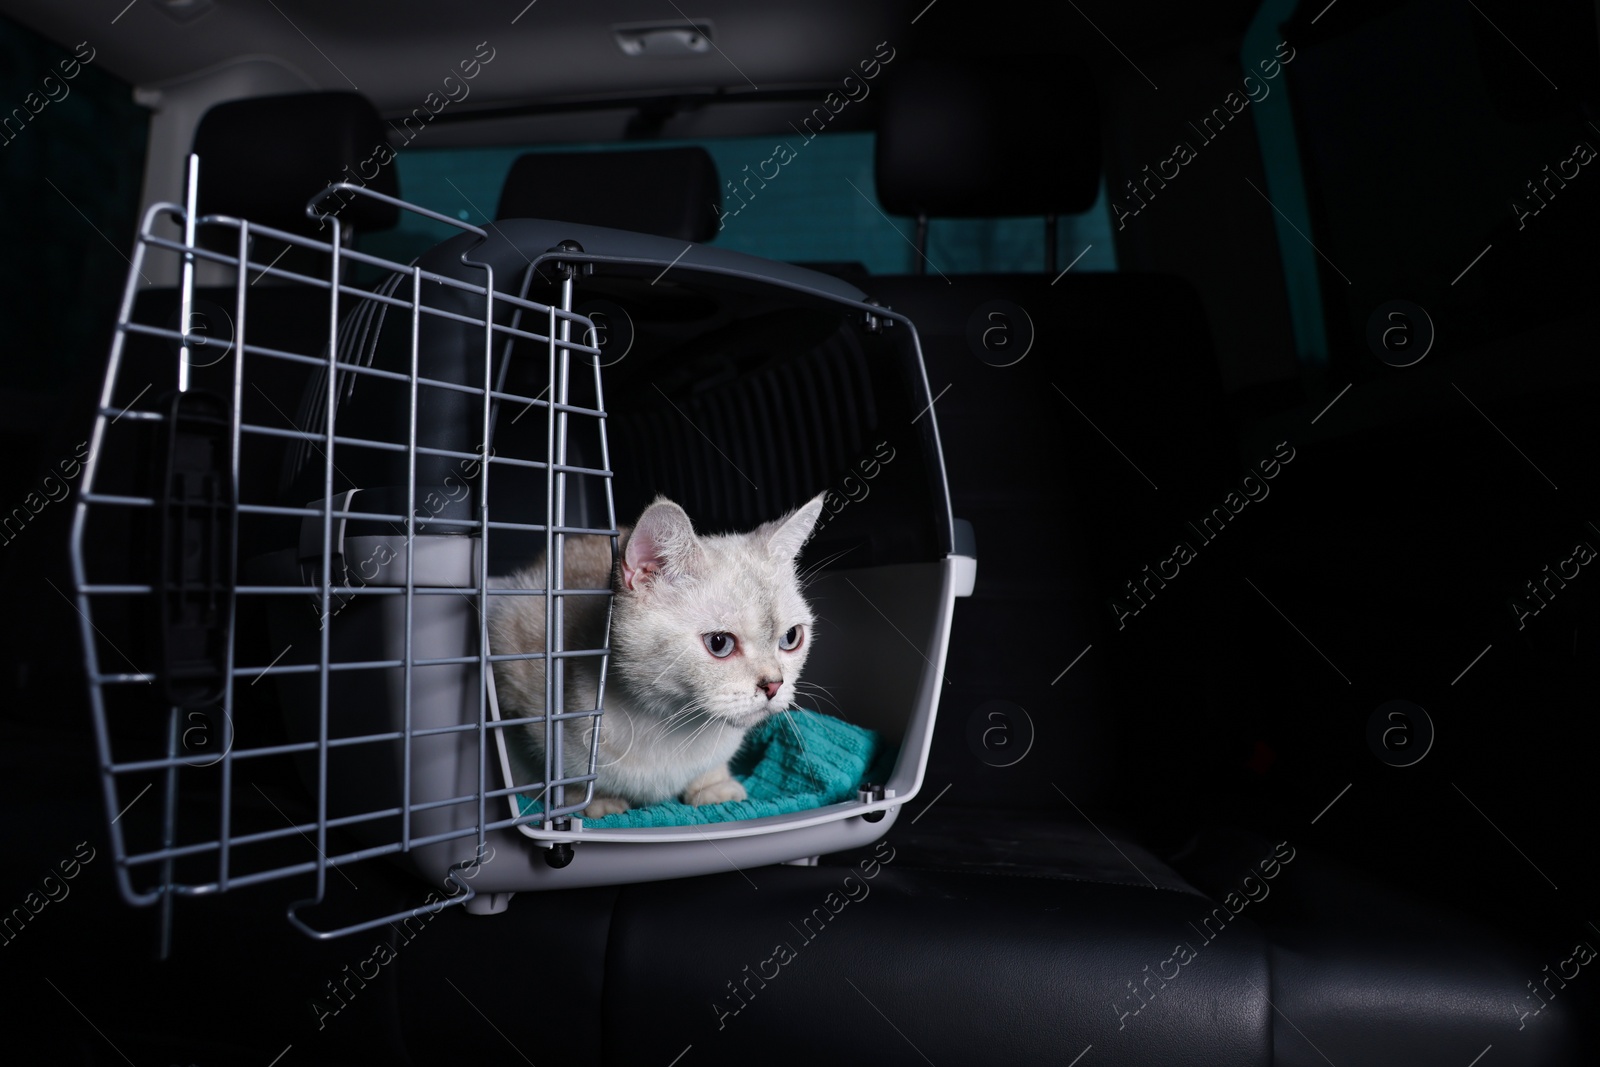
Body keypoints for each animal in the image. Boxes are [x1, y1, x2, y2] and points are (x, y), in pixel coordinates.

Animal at [483, 495, 825, 825]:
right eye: (720, 643)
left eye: (791, 638)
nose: (774, 685)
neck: (671, 727)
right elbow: (560, 773)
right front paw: (593, 802)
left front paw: (714, 788)